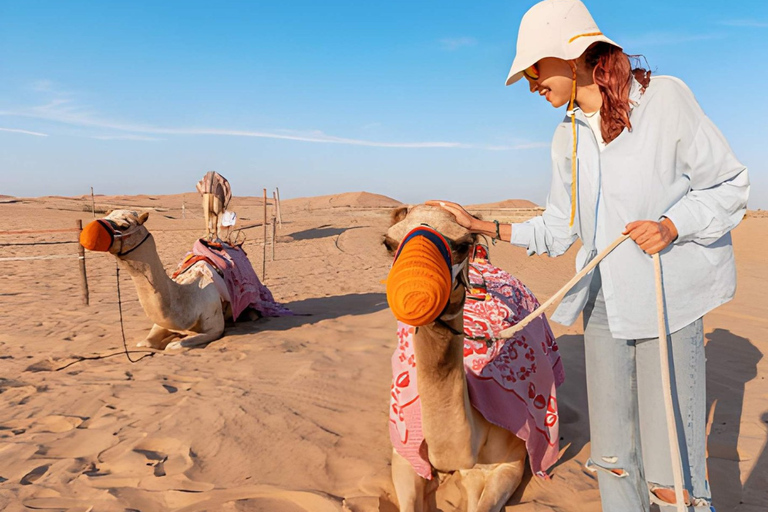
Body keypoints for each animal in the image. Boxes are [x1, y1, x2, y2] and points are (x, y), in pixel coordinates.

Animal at [80, 210, 231, 350]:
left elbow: (173, 346)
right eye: (106, 216)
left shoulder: (215, 328)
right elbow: (145, 343)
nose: (89, 231)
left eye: (124, 226)